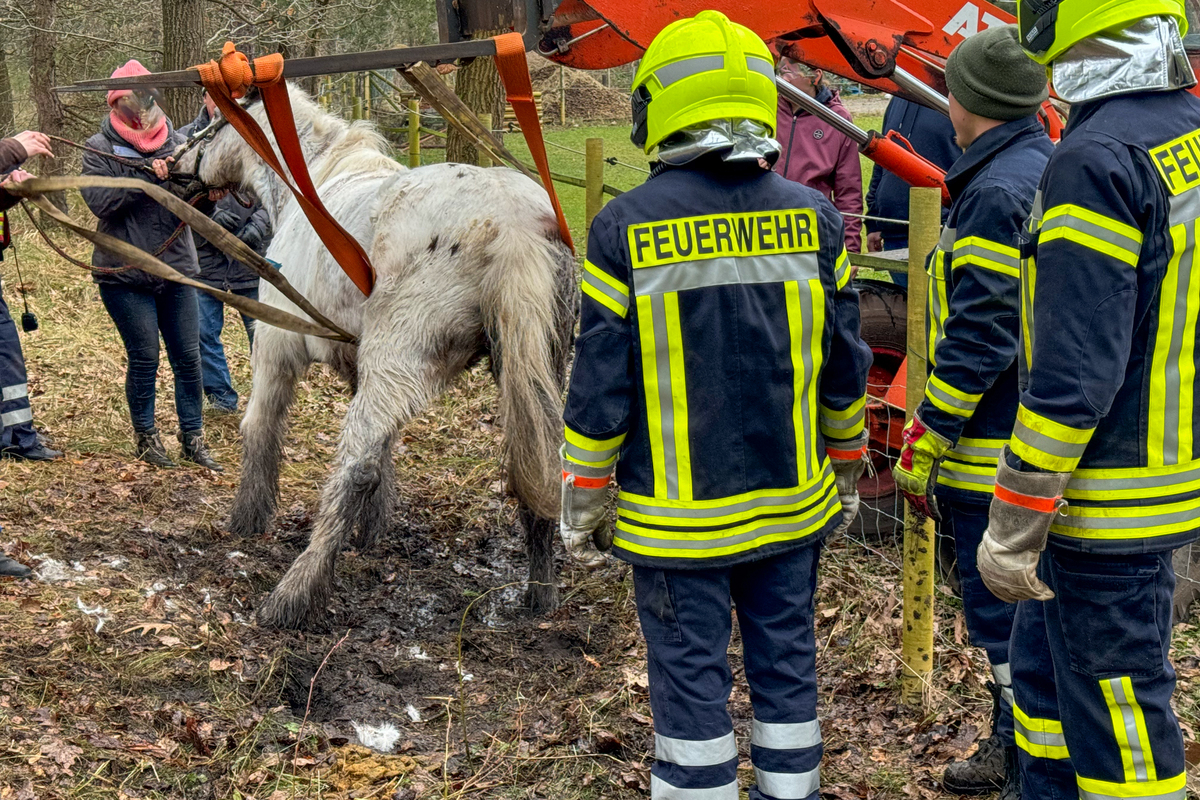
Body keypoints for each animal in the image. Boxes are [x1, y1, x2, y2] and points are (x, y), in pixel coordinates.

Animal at [173, 85, 577, 629]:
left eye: (204, 124)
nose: (171, 163)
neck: (317, 175)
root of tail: (513, 224)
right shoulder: (356, 364)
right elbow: (385, 451)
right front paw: (371, 531)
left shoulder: (277, 345)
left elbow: (261, 427)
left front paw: (247, 518)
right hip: (535, 369)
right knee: (540, 463)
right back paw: (541, 593)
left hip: (397, 359)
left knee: (353, 467)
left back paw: (293, 593)